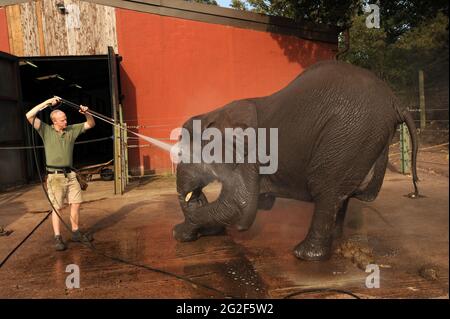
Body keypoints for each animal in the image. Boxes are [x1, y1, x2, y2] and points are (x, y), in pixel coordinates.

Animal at [172, 60, 418, 262]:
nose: (195, 194)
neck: (214, 113)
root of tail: (396, 102)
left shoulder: (248, 154)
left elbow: (239, 204)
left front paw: (180, 232)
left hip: (348, 134)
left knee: (326, 189)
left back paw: (304, 255)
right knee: (339, 195)